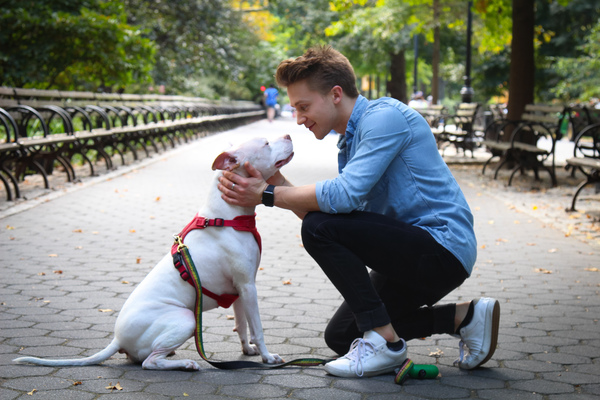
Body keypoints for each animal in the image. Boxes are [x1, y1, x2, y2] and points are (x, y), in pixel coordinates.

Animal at [14, 136, 296, 370]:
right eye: (266, 143)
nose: (288, 134)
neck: (227, 217)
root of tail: (117, 339)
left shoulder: (239, 290)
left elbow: (242, 325)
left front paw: (248, 350)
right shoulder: (248, 287)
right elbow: (257, 327)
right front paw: (267, 357)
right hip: (186, 318)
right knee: (149, 362)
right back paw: (184, 363)